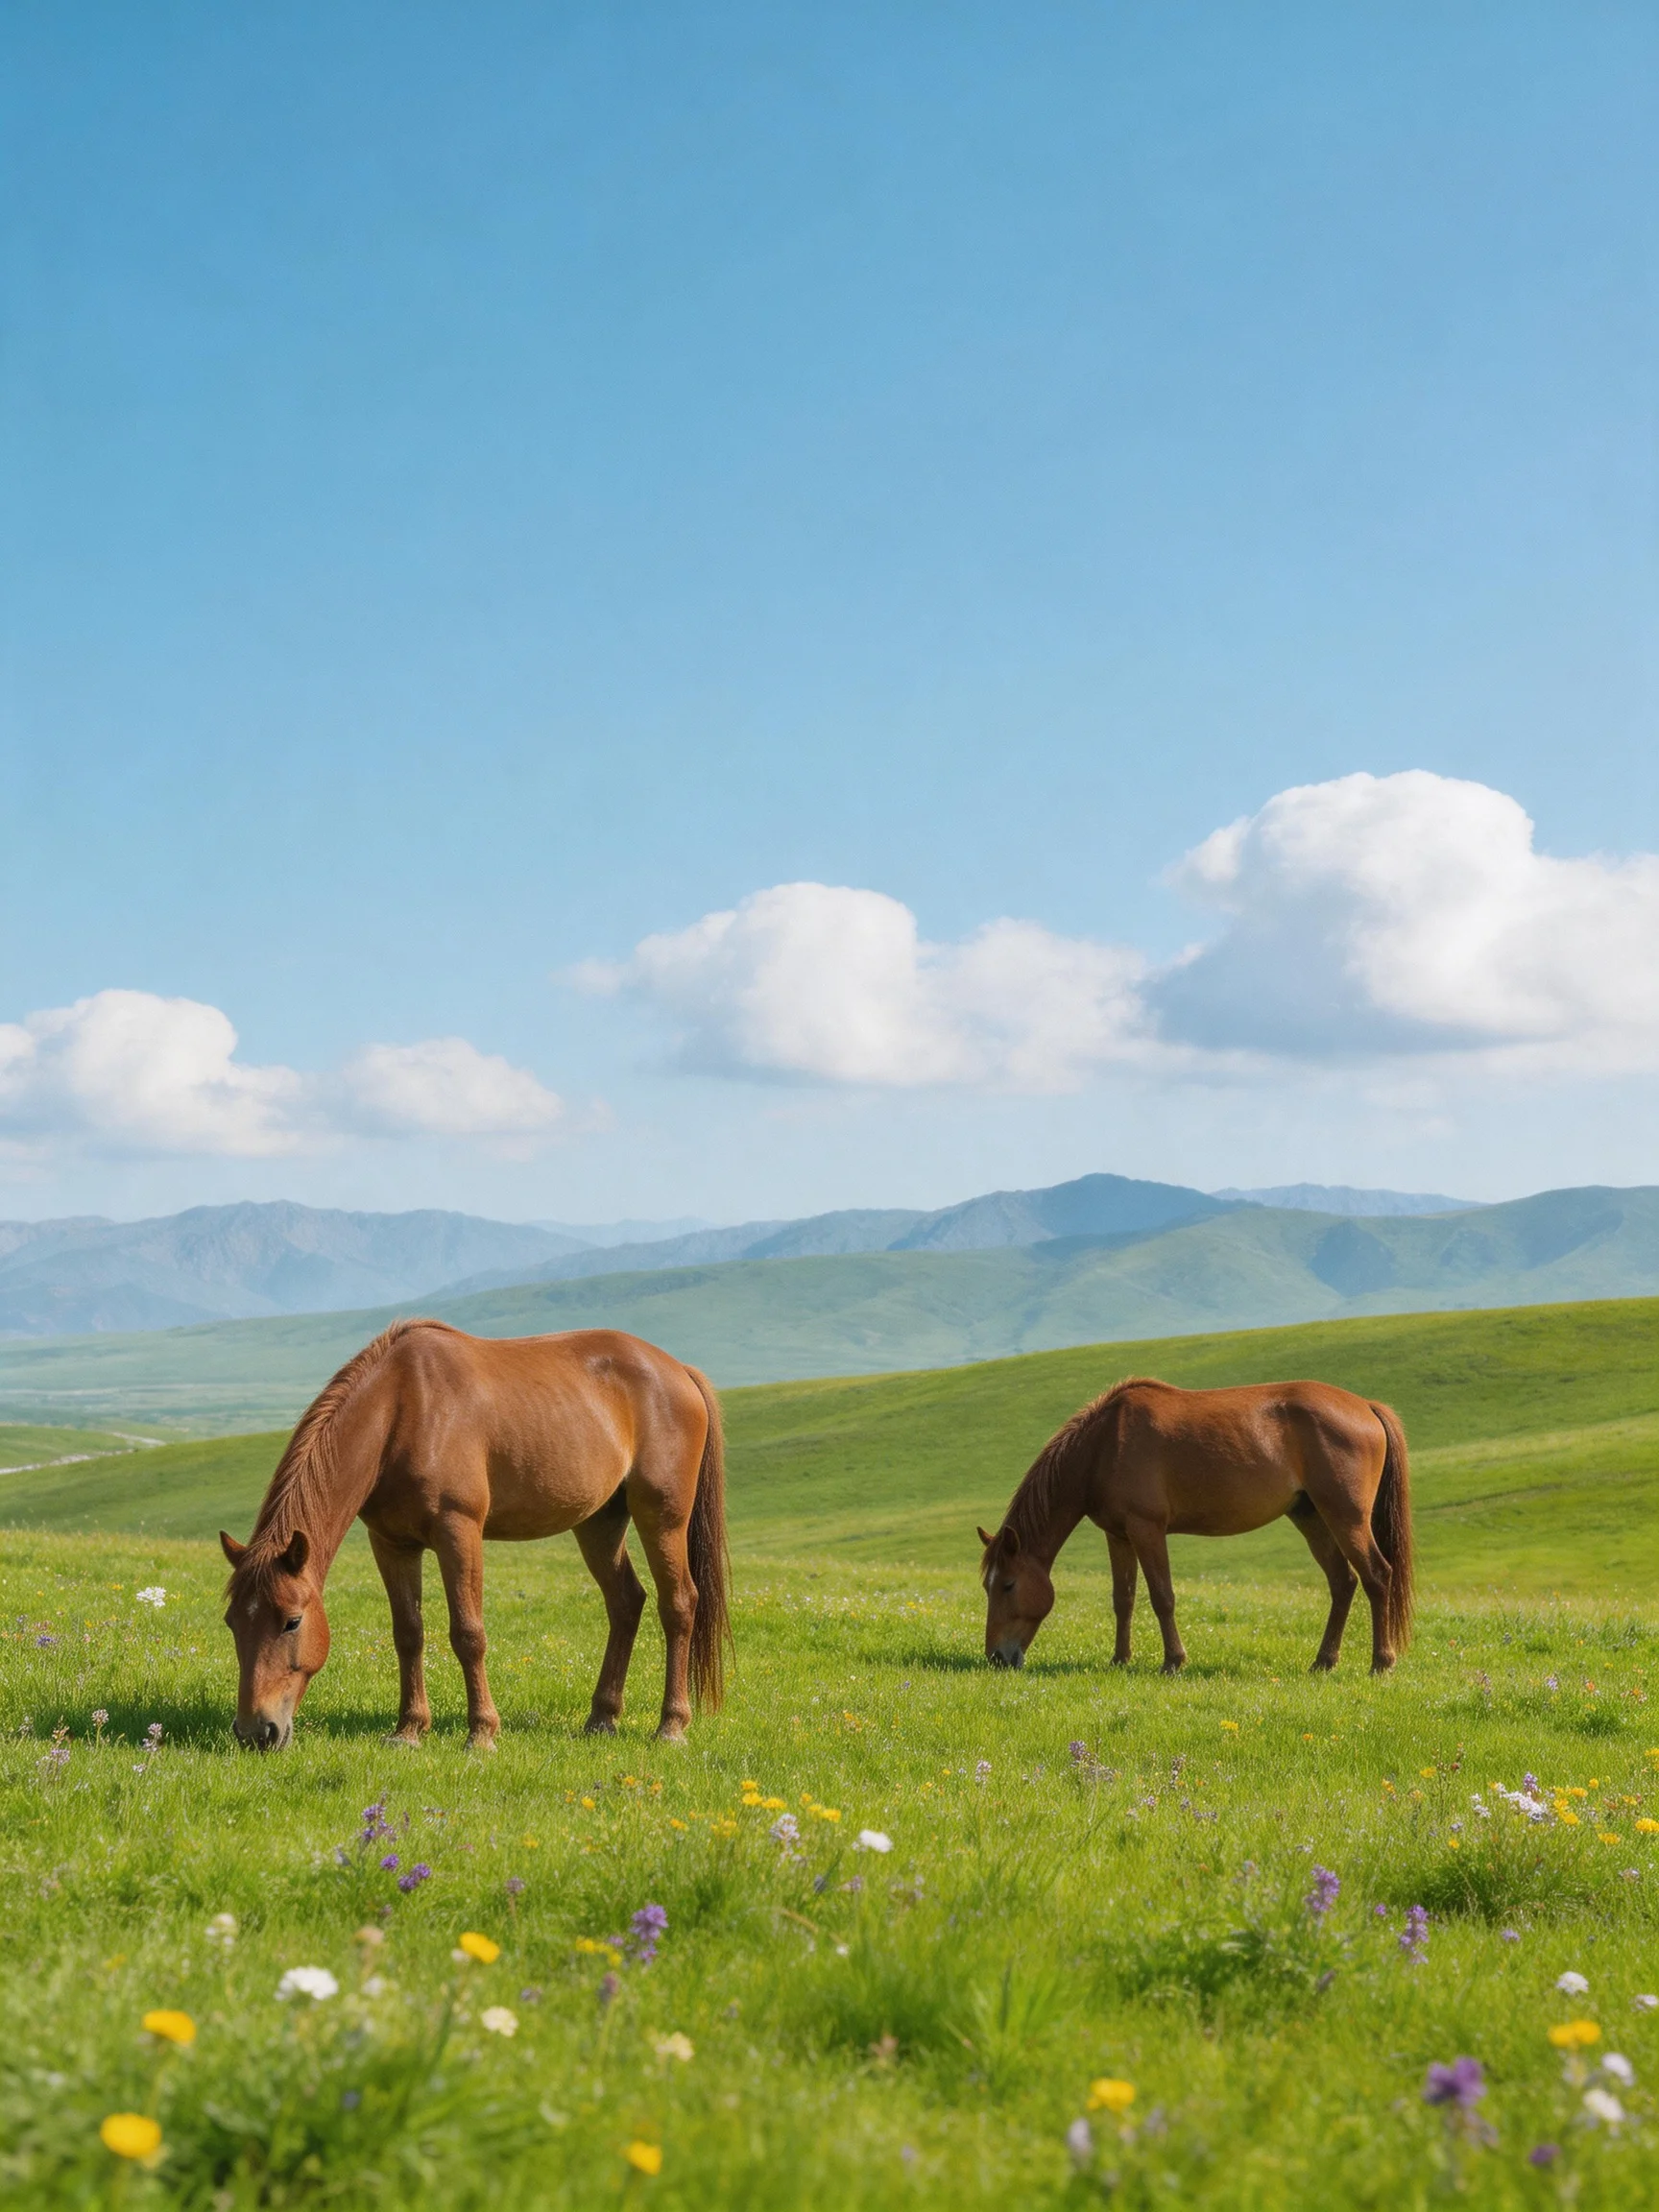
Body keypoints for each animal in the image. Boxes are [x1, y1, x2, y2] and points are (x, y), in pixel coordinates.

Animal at [219, 1318, 730, 1750]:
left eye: (292, 1622)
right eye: (232, 1622)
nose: (256, 1731)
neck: (404, 1410)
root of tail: (679, 1372)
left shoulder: (458, 1532)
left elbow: (468, 1633)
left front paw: (481, 1733)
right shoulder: (392, 1544)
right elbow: (408, 1633)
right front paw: (408, 1730)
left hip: (662, 1516)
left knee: (678, 1604)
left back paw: (671, 1726)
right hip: (599, 1524)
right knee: (626, 1602)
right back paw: (601, 1718)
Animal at [977, 1375, 1412, 1676]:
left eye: (1009, 1585)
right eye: (987, 1585)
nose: (997, 1657)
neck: (1103, 1445)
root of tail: (1366, 1406)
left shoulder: (1147, 1529)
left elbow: (1162, 1597)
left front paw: (1173, 1661)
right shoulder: (1118, 1536)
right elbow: (1123, 1599)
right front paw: (1120, 1659)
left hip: (1345, 1516)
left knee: (1376, 1575)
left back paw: (1381, 1662)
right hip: (1311, 1517)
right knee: (1343, 1582)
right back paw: (1323, 1661)